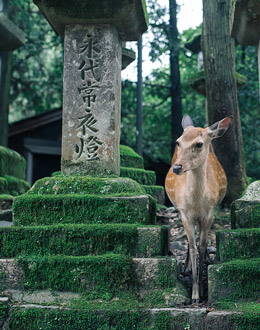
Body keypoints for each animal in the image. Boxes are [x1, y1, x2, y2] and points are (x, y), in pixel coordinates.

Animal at [166, 114, 233, 302]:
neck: (196, 203)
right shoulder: (184, 213)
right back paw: (186, 268)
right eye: (178, 142)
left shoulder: (208, 214)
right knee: (190, 244)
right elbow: (193, 247)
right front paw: (194, 294)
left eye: (199, 144)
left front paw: (203, 291)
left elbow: (202, 247)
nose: (177, 167)